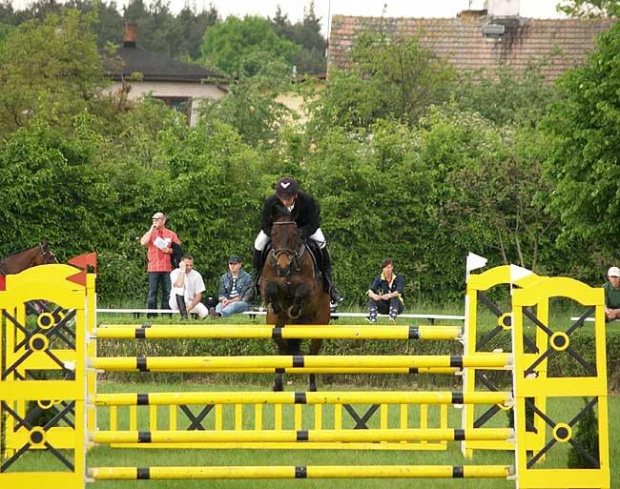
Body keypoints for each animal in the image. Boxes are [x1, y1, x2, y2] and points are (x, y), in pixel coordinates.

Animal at [260, 212, 332, 390]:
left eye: (294, 235)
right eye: (273, 234)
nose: (282, 267)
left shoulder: (310, 286)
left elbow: (301, 292)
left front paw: (293, 309)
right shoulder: (266, 284)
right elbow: (271, 288)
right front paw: (278, 306)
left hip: (319, 325)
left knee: (312, 354)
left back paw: (312, 387)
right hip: (274, 325)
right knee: (283, 349)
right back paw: (278, 385)